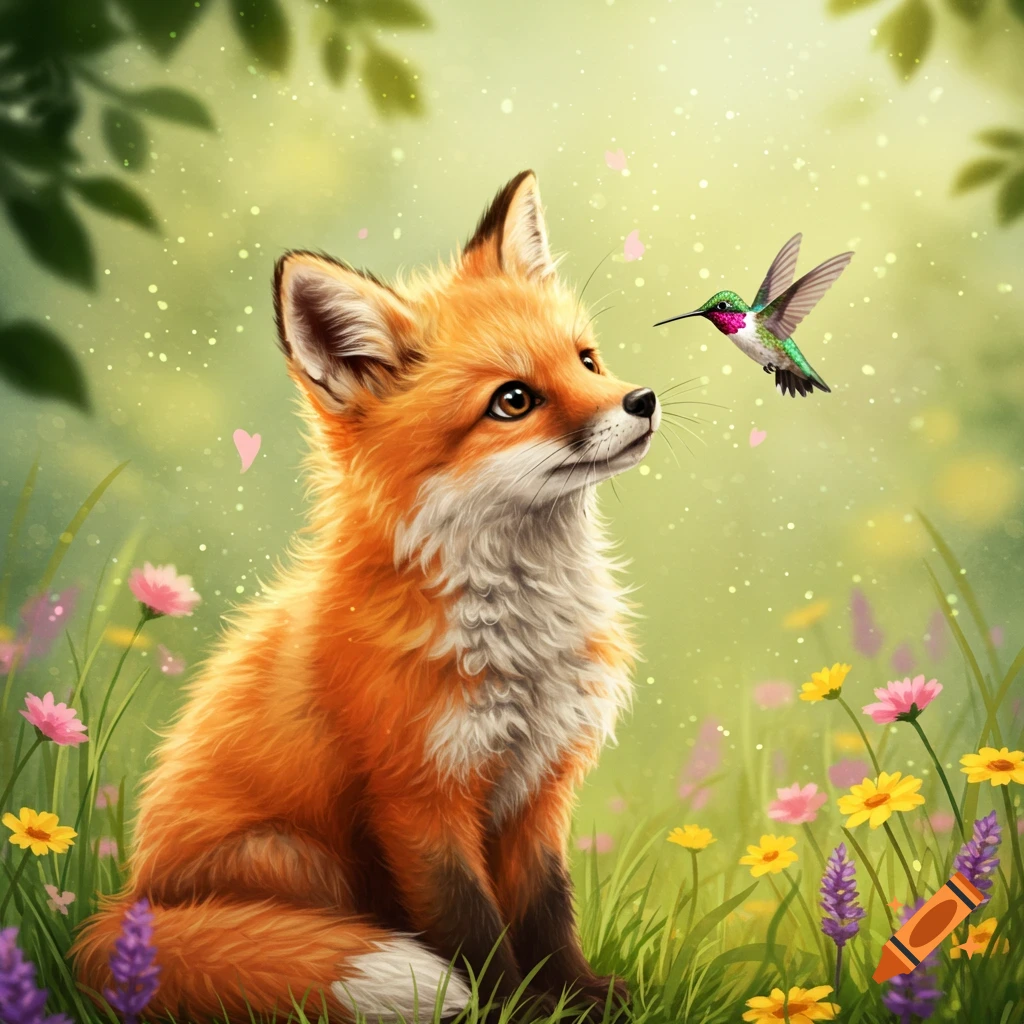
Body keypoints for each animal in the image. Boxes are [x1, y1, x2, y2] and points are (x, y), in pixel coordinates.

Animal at [73, 170, 661, 1022]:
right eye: (513, 401)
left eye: (587, 359)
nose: (642, 400)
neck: (521, 641)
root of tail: (125, 909)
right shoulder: (418, 798)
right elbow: (472, 928)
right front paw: (505, 1008)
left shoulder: (539, 788)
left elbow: (549, 911)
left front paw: (578, 999)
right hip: (295, 855)